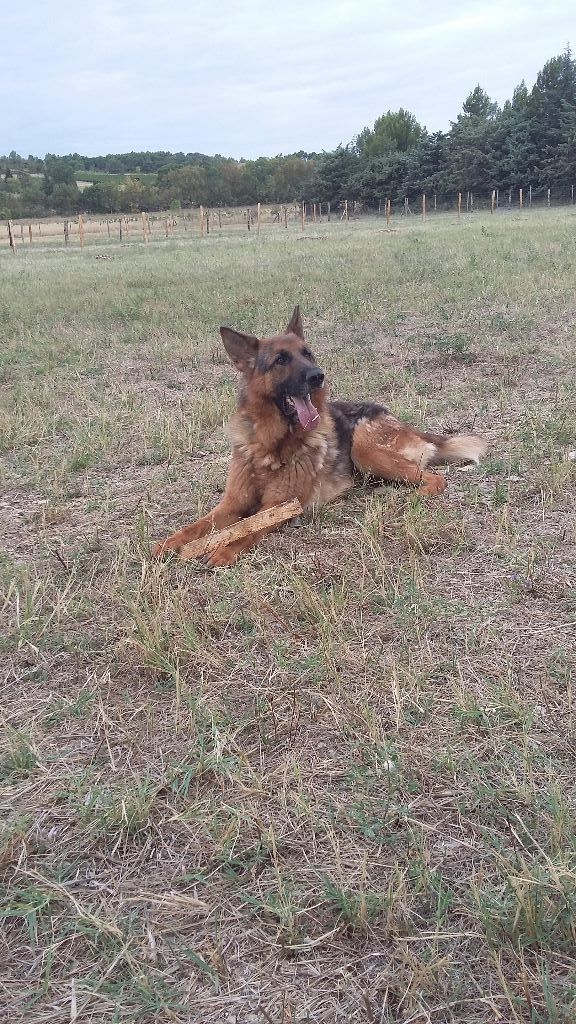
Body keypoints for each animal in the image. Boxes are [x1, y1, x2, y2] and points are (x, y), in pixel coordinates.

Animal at [153, 309, 483, 569]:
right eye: (280, 360)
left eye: (307, 354)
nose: (318, 376)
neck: (271, 445)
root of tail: (401, 422)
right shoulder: (232, 503)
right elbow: (195, 527)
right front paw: (167, 544)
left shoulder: (279, 506)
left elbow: (249, 528)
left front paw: (225, 550)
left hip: (364, 447)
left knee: (435, 478)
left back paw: (414, 495)